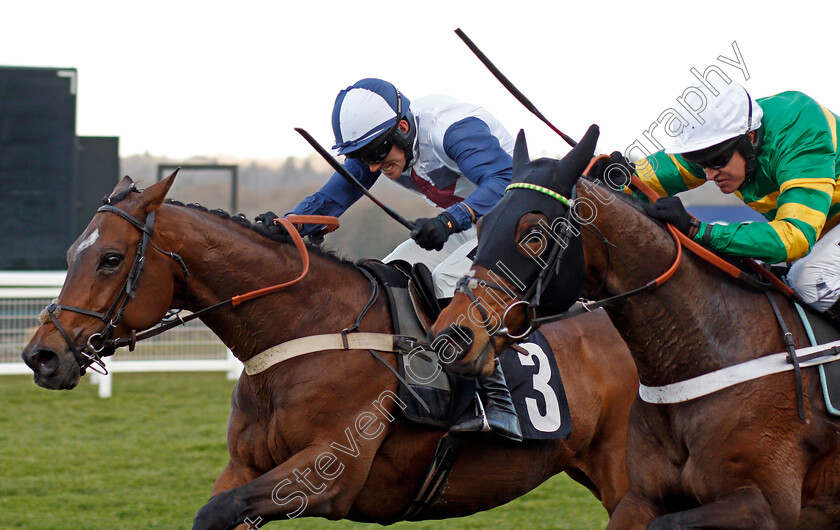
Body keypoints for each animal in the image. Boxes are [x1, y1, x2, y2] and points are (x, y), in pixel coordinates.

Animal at [21, 173, 636, 528]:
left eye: (111, 259)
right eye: (74, 252)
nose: (41, 355)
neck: (306, 331)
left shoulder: (328, 477)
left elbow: (218, 512)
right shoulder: (245, 465)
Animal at [434, 126, 840, 524]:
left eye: (534, 235)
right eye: (481, 226)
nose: (451, 337)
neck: (708, 350)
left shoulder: (764, 503)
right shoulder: (641, 495)